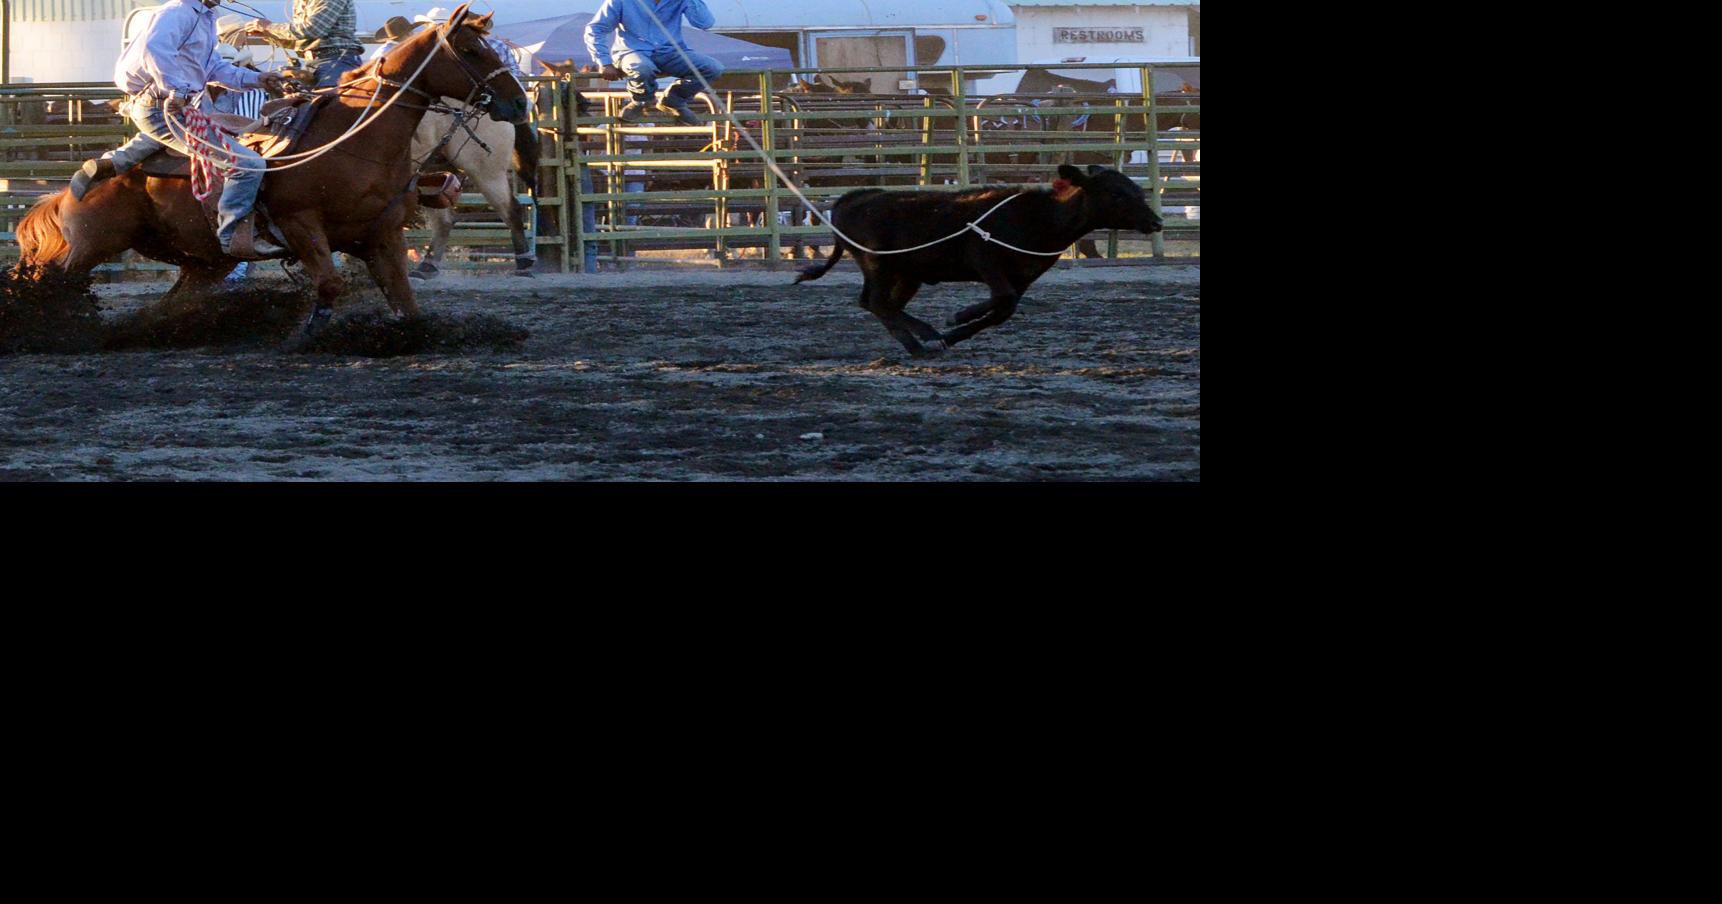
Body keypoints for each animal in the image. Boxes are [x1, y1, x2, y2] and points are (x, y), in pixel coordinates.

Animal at [408, 98, 533, 278]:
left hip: (487, 173)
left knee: (511, 209)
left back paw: (524, 264)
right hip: (430, 173)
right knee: (443, 220)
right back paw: (427, 266)